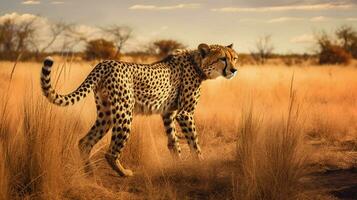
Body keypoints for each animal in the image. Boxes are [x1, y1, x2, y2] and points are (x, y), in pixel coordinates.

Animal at [40, 43, 238, 177]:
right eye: (222, 58)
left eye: (234, 58)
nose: (234, 70)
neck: (197, 63)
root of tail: (105, 63)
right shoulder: (185, 113)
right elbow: (194, 142)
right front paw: (200, 164)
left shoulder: (169, 113)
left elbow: (173, 141)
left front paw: (179, 163)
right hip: (124, 114)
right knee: (110, 151)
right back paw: (124, 173)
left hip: (106, 114)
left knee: (85, 141)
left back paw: (90, 173)